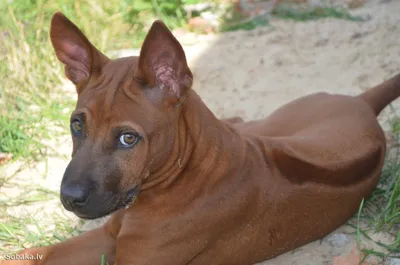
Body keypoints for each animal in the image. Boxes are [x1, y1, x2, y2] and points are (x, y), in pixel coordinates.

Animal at [1, 11, 398, 264]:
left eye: (128, 139)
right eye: (77, 125)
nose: (69, 199)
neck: (184, 173)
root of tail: (361, 102)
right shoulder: (105, 236)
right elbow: (29, 255)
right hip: (269, 124)